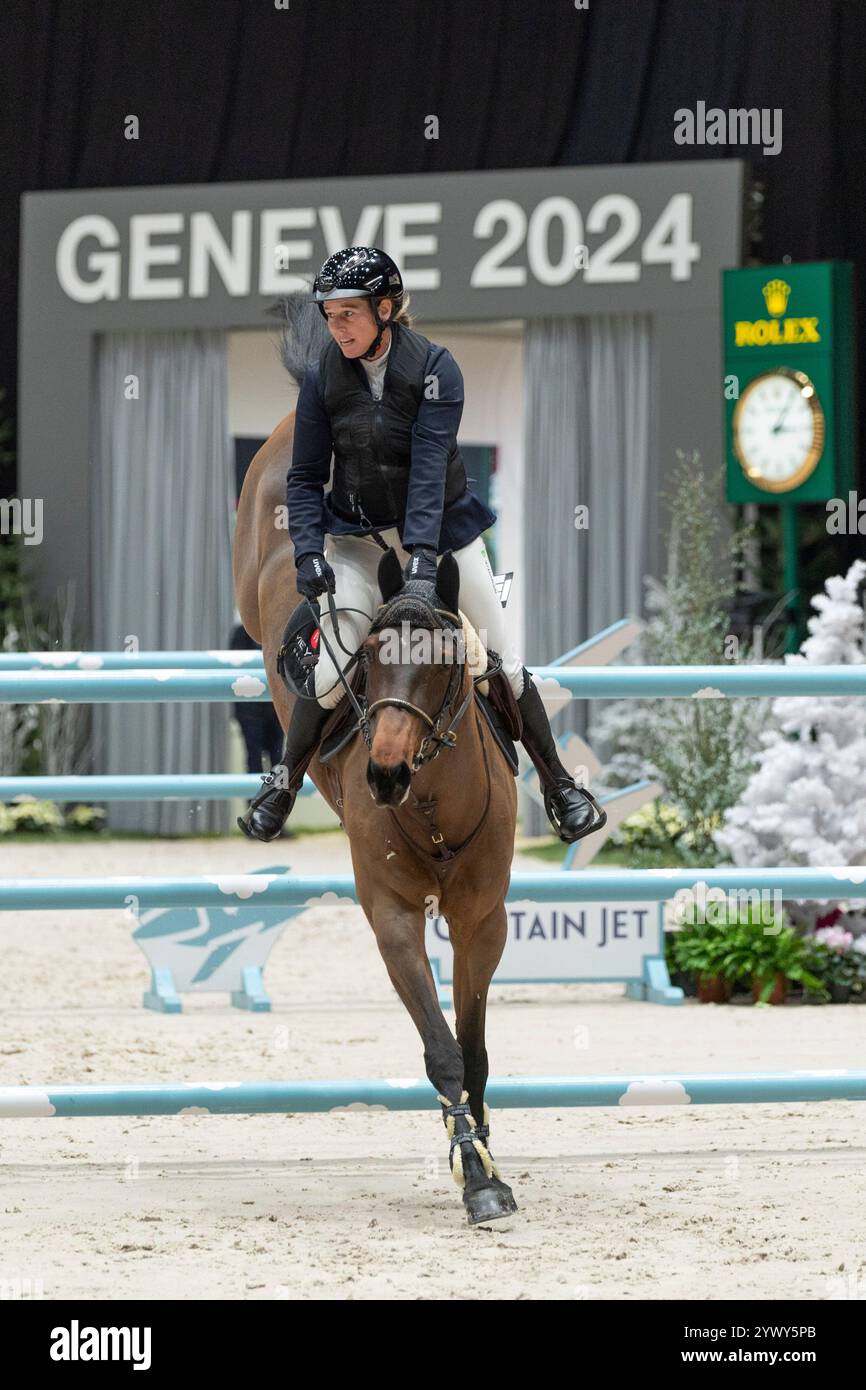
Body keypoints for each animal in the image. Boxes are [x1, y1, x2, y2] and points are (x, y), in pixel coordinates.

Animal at [233, 386, 517, 1223]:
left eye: (445, 664)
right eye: (369, 664)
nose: (384, 774)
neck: (435, 808)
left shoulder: (481, 918)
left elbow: (474, 1046)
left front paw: (484, 1157)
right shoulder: (391, 918)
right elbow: (443, 1050)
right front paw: (476, 1175)